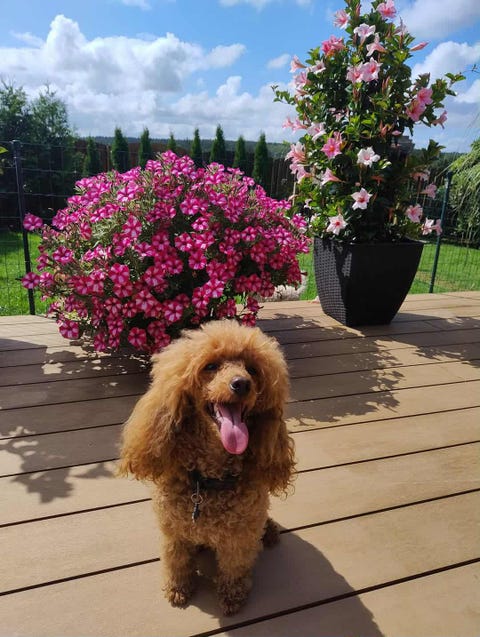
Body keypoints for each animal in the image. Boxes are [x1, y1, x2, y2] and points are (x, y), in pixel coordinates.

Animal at [118, 320, 295, 615]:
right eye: (210, 366)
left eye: (252, 369)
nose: (242, 383)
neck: (209, 480)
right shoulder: (173, 531)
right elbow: (176, 560)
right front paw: (178, 588)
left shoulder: (239, 538)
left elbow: (234, 567)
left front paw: (232, 596)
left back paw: (268, 532)